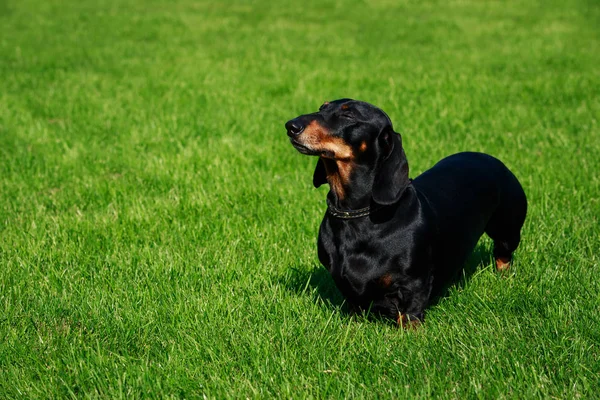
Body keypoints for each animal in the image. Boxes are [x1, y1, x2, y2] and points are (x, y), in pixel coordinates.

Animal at [286, 98, 524, 326]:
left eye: (348, 114)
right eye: (321, 108)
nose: (290, 126)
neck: (357, 215)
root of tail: (488, 158)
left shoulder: (413, 284)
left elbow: (409, 316)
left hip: (507, 230)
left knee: (503, 256)